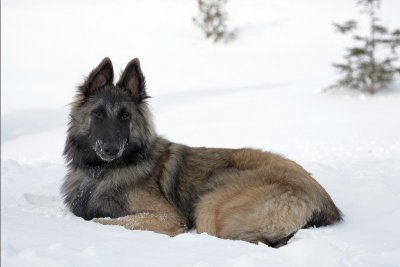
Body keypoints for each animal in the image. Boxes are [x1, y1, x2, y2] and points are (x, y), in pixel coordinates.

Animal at [61, 57, 342, 248]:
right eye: (98, 115)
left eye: (124, 117)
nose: (111, 148)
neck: (103, 171)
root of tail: (326, 203)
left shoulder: (166, 216)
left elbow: (104, 221)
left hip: (211, 202)